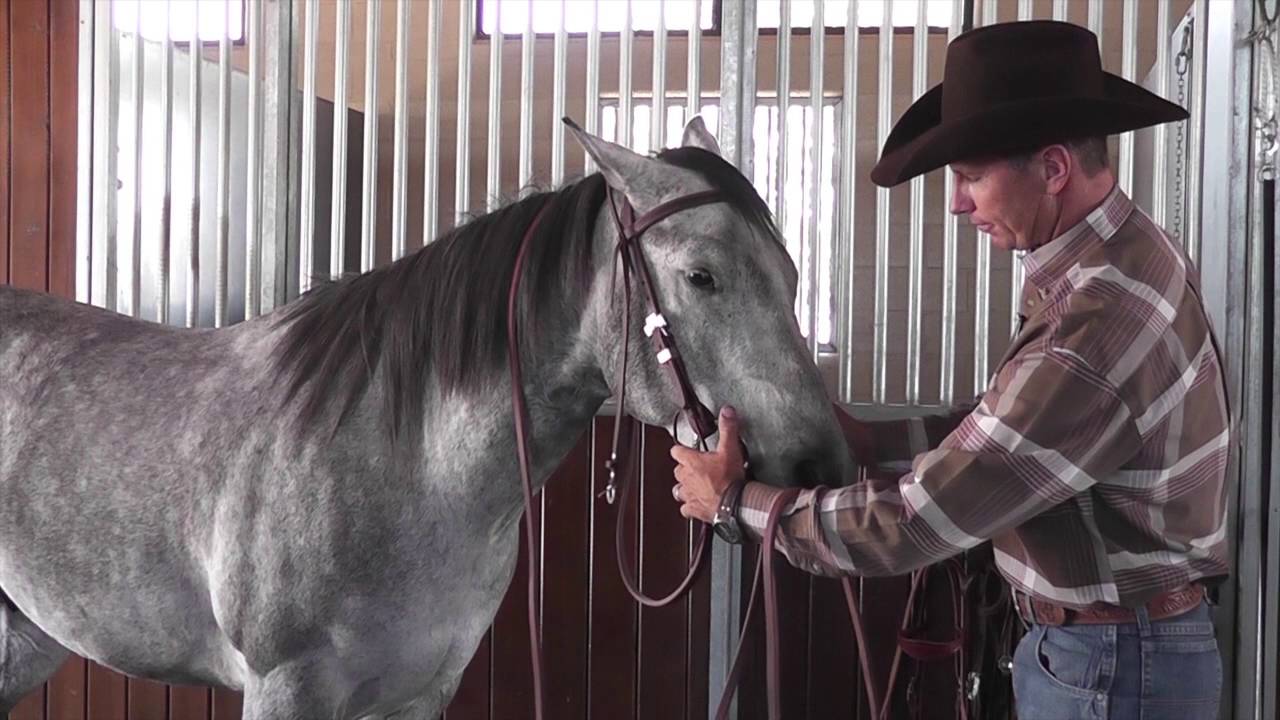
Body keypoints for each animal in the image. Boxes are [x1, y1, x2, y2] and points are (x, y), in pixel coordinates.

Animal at [0, 118, 850, 719]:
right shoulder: (285, 691)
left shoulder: (419, 695)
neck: (398, 465)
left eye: (792, 274)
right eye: (702, 276)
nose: (820, 466)